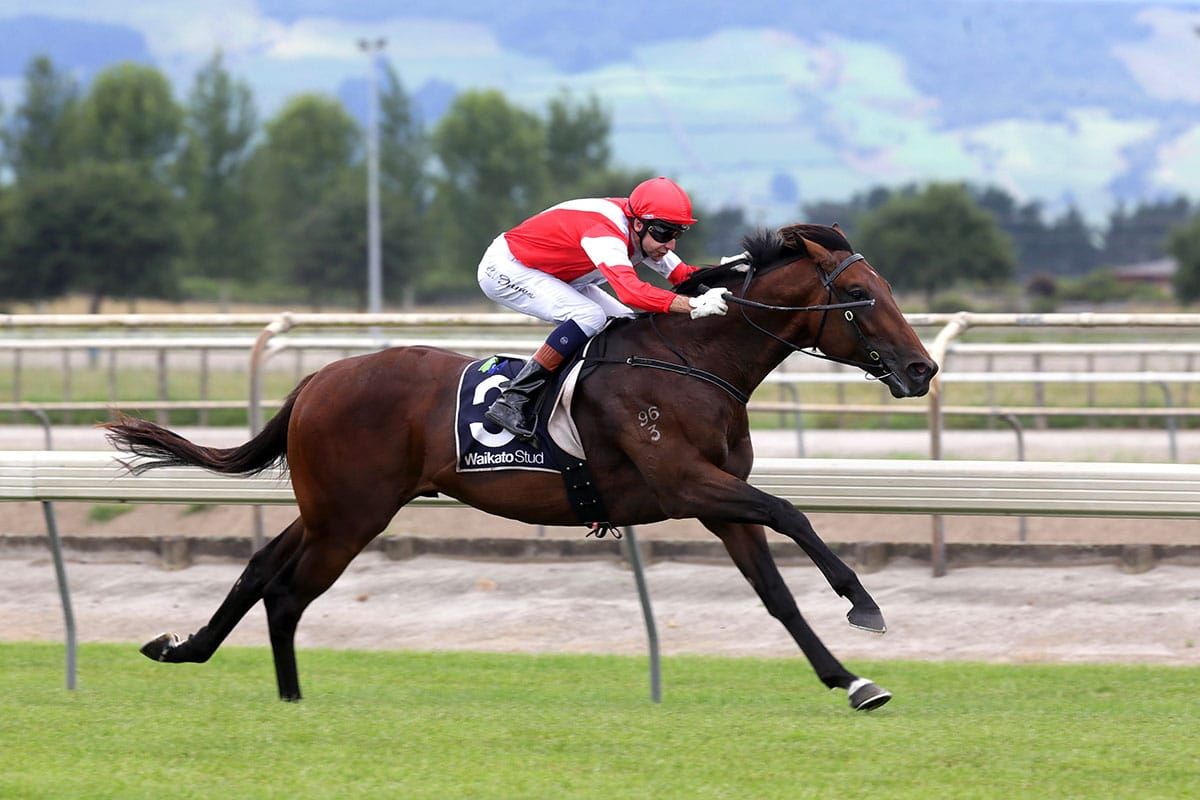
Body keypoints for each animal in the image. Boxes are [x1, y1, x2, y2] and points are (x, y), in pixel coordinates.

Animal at [105, 223, 937, 711]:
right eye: (858, 295)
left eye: (890, 290)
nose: (922, 368)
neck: (695, 361)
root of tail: (316, 379)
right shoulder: (687, 482)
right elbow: (792, 512)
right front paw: (863, 603)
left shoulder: (716, 502)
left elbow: (776, 596)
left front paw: (852, 680)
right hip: (348, 517)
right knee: (286, 592)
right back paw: (289, 699)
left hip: (328, 509)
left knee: (258, 570)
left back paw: (185, 647)